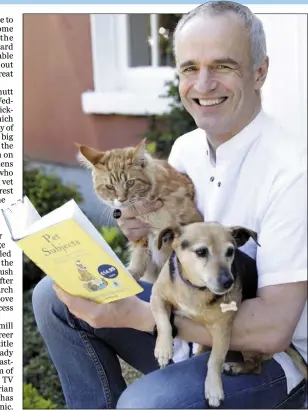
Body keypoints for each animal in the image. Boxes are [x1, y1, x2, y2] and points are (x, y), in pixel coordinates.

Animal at [76, 139, 203, 284]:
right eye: (109, 187)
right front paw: (133, 273)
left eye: (130, 183)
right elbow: (140, 255)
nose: (122, 199)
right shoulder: (142, 236)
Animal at [150, 223, 306, 408]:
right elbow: (163, 322)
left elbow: (215, 359)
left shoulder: (222, 328)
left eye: (230, 251)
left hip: (250, 345)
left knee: (257, 365)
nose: (228, 282)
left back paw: (235, 367)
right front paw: (163, 349)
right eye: (201, 252)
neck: (196, 289)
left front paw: (213, 389)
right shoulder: (157, 296)